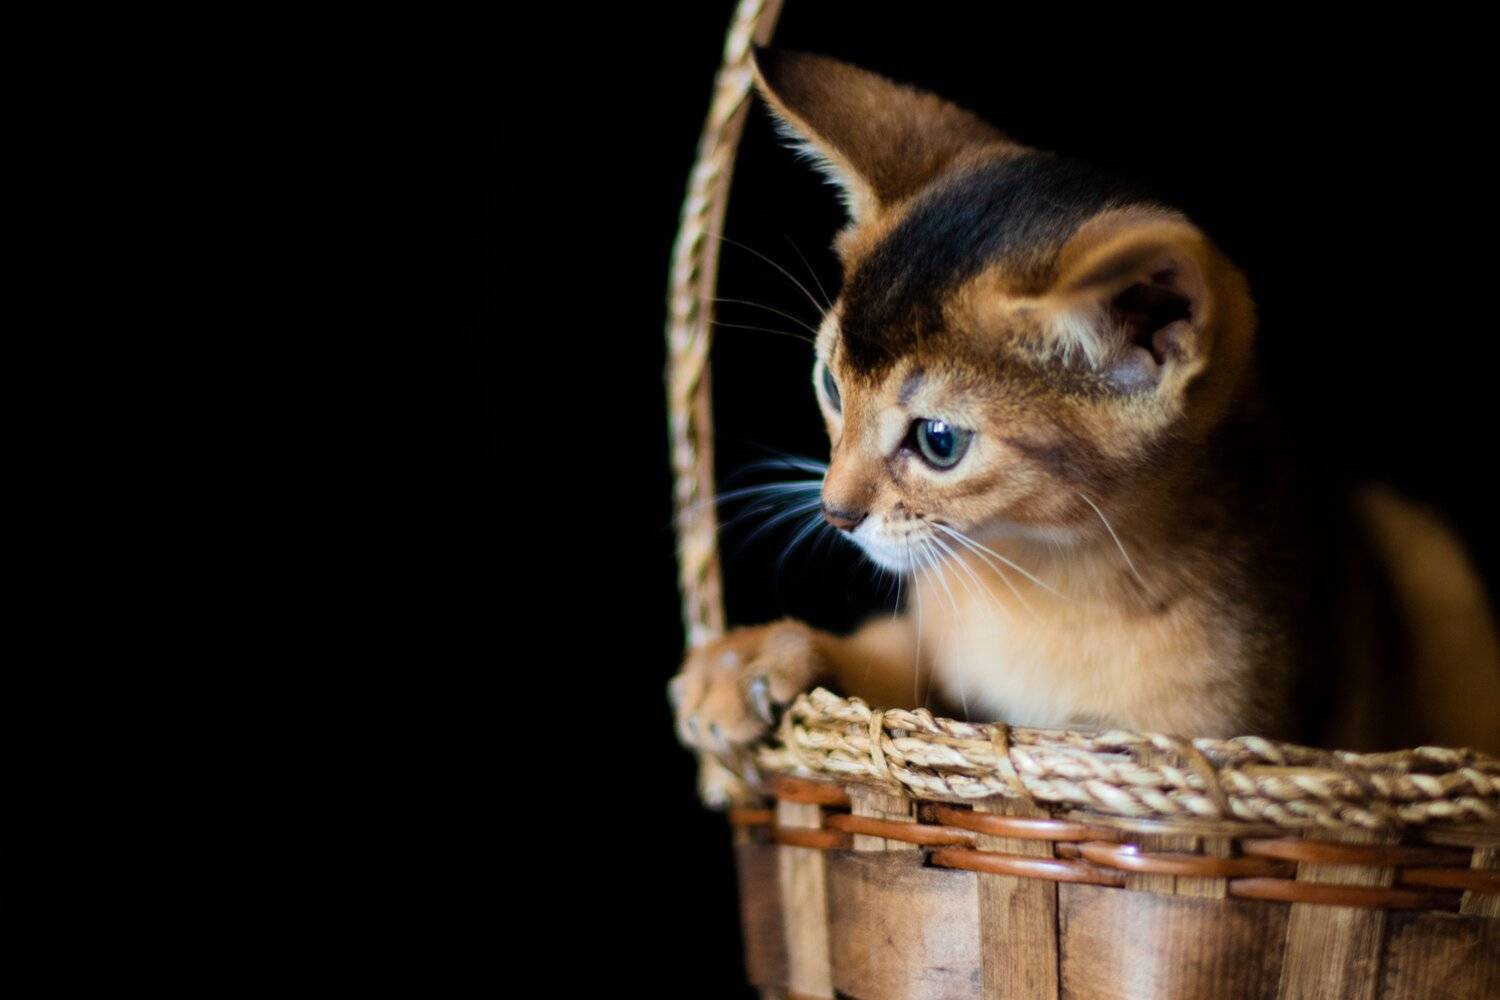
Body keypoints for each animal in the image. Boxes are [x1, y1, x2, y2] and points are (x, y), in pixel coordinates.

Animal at [670, 48, 1500, 777]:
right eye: (830, 385)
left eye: (939, 441)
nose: (835, 512)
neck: (1046, 580)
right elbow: (895, 661)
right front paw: (753, 658)